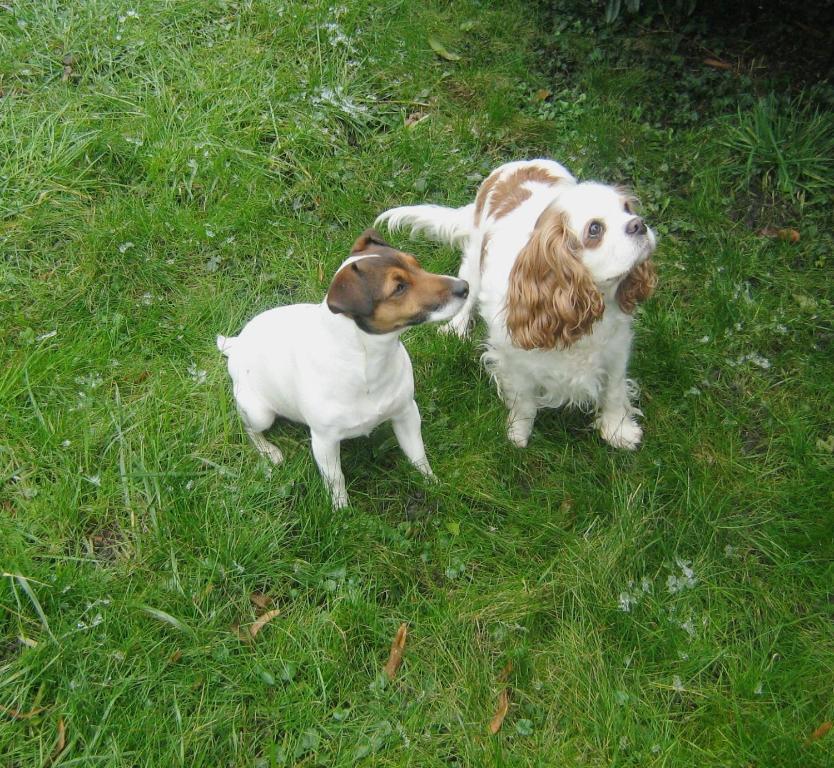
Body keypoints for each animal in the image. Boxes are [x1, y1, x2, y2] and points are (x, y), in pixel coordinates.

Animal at [218, 231, 468, 508]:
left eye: (416, 263)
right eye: (399, 288)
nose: (465, 286)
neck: (368, 362)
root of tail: (237, 345)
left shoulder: (406, 413)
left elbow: (418, 455)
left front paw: (433, 484)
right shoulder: (324, 441)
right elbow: (335, 479)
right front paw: (341, 510)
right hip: (258, 413)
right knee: (250, 429)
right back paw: (269, 451)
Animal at [376, 160, 656, 450]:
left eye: (627, 209)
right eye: (595, 229)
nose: (639, 224)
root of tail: (519, 164)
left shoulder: (616, 349)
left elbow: (614, 391)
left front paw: (618, 429)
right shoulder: (513, 360)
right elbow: (524, 401)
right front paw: (518, 433)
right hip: (474, 259)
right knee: (467, 292)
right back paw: (457, 327)